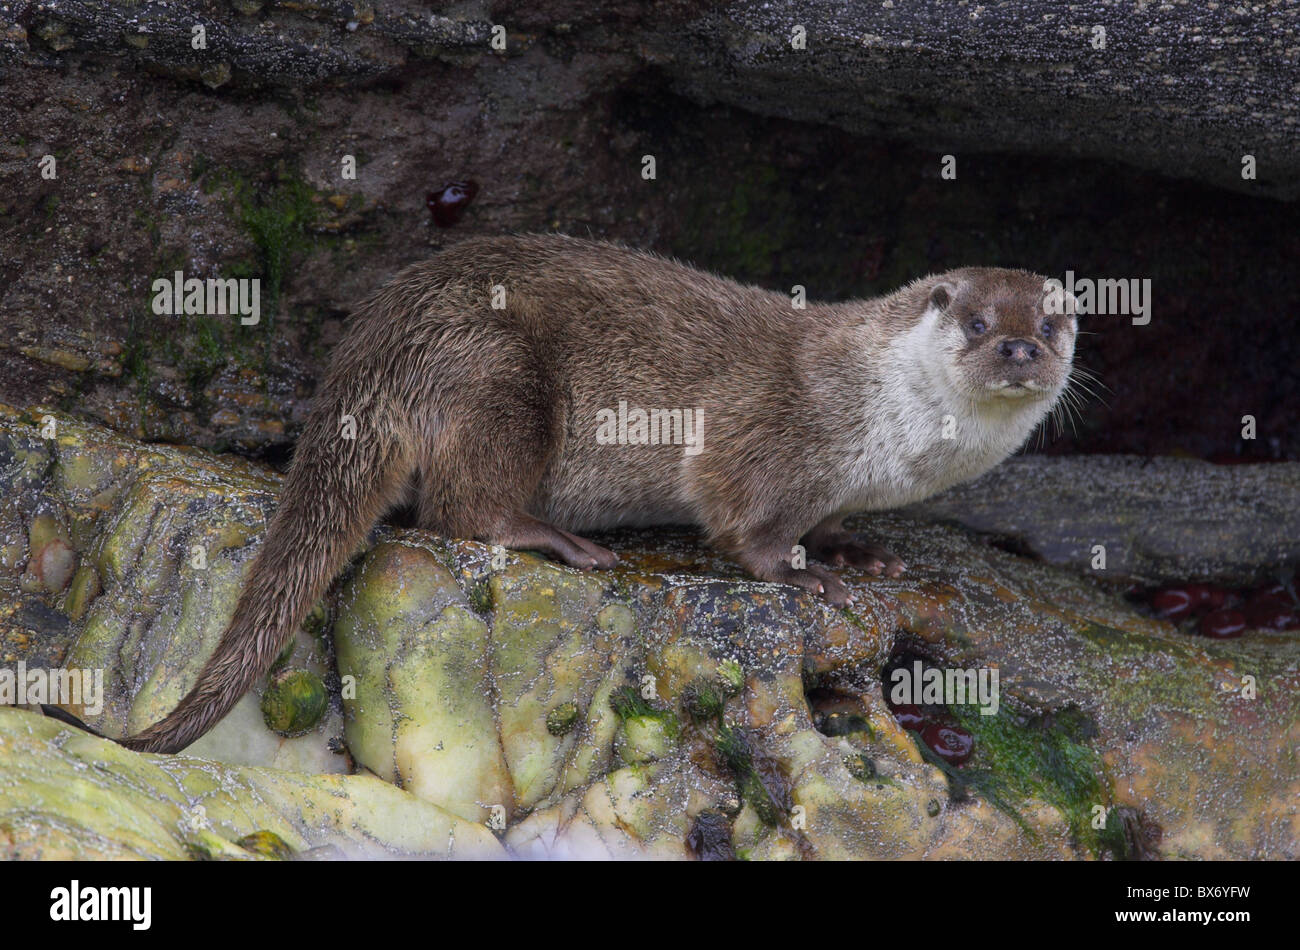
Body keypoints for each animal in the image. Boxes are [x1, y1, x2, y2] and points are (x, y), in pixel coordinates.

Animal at [81, 233, 1081, 753]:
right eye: (978, 322)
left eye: (1055, 322)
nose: (1019, 349)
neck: (881, 421)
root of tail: (375, 343)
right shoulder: (770, 429)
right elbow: (737, 517)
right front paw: (799, 575)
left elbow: (827, 522)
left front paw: (853, 549)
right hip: (497, 374)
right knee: (457, 508)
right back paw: (558, 540)